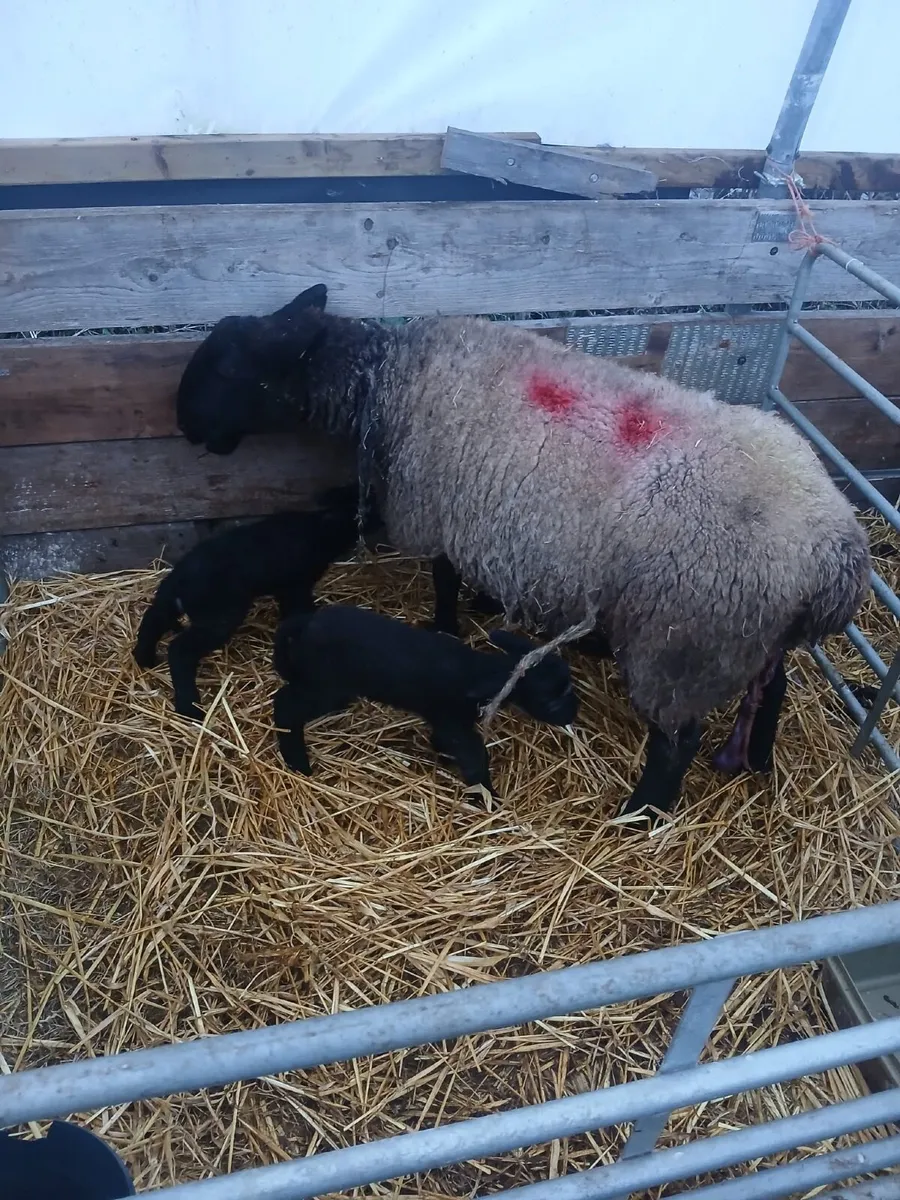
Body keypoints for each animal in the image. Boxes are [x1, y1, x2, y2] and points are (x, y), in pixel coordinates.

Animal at [133, 484, 371, 720]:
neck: (319, 528)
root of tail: (179, 578)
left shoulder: (287, 589)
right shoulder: (297, 586)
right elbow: (300, 610)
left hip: (174, 602)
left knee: (153, 618)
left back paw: (145, 658)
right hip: (218, 618)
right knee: (179, 650)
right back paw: (190, 708)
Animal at [271, 603, 578, 793]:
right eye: (551, 701)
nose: (573, 714)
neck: (479, 672)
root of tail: (306, 622)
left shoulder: (446, 722)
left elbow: (446, 742)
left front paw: (444, 758)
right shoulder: (453, 720)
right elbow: (475, 755)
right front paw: (485, 796)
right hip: (326, 684)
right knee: (285, 704)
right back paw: (298, 763)